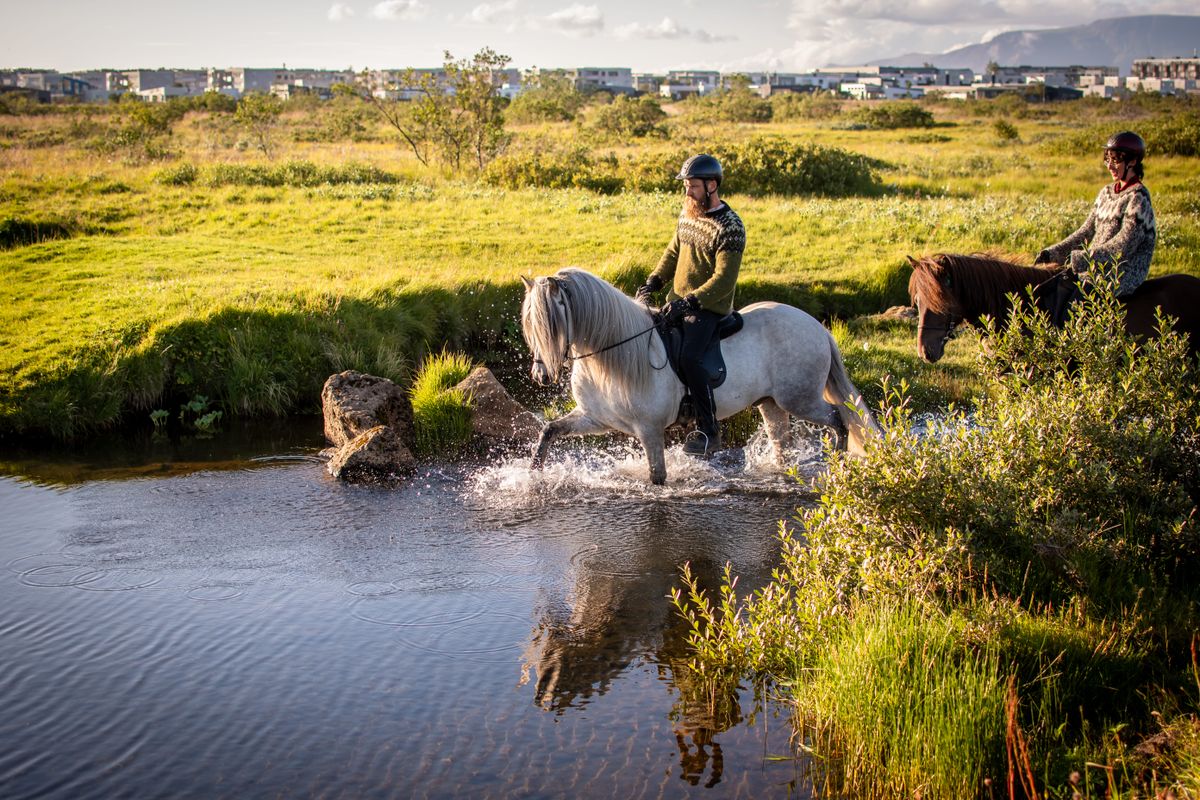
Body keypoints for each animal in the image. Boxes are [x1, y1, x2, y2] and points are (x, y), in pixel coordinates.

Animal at [520, 268, 880, 485]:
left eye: (550, 324)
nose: (541, 375)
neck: (613, 354)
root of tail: (817, 326)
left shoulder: (649, 429)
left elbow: (657, 476)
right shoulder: (596, 418)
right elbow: (550, 431)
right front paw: (532, 476)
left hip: (800, 399)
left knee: (838, 419)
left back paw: (837, 460)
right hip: (771, 403)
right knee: (784, 443)